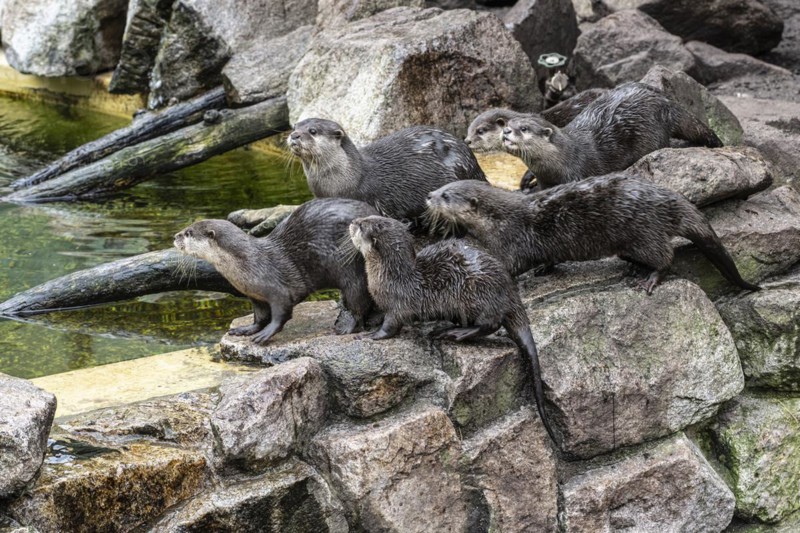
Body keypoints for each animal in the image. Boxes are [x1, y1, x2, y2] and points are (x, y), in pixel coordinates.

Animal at [174, 198, 378, 344]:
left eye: (188, 233)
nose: (175, 236)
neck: (249, 263)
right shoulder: (255, 296)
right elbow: (260, 316)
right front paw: (246, 329)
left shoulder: (278, 289)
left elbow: (282, 313)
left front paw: (266, 334)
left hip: (351, 271)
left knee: (358, 301)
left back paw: (347, 328)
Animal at [349, 215, 557, 444]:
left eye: (362, 225)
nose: (352, 222)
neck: (390, 276)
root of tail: (510, 293)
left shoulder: (399, 305)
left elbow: (391, 326)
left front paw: (370, 335)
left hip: (477, 292)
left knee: (491, 323)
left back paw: (453, 332)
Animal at [426, 176, 760, 293]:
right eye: (441, 187)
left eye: (446, 195)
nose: (428, 195)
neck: (499, 221)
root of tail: (667, 199)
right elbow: (548, 258)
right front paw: (545, 269)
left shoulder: (513, 244)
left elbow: (512, 267)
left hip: (645, 232)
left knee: (666, 256)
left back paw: (649, 279)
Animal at [502, 82, 723, 189]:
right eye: (507, 123)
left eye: (524, 128)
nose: (506, 131)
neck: (565, 158)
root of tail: (665, 103)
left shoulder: (576, 174)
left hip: (651, 135)